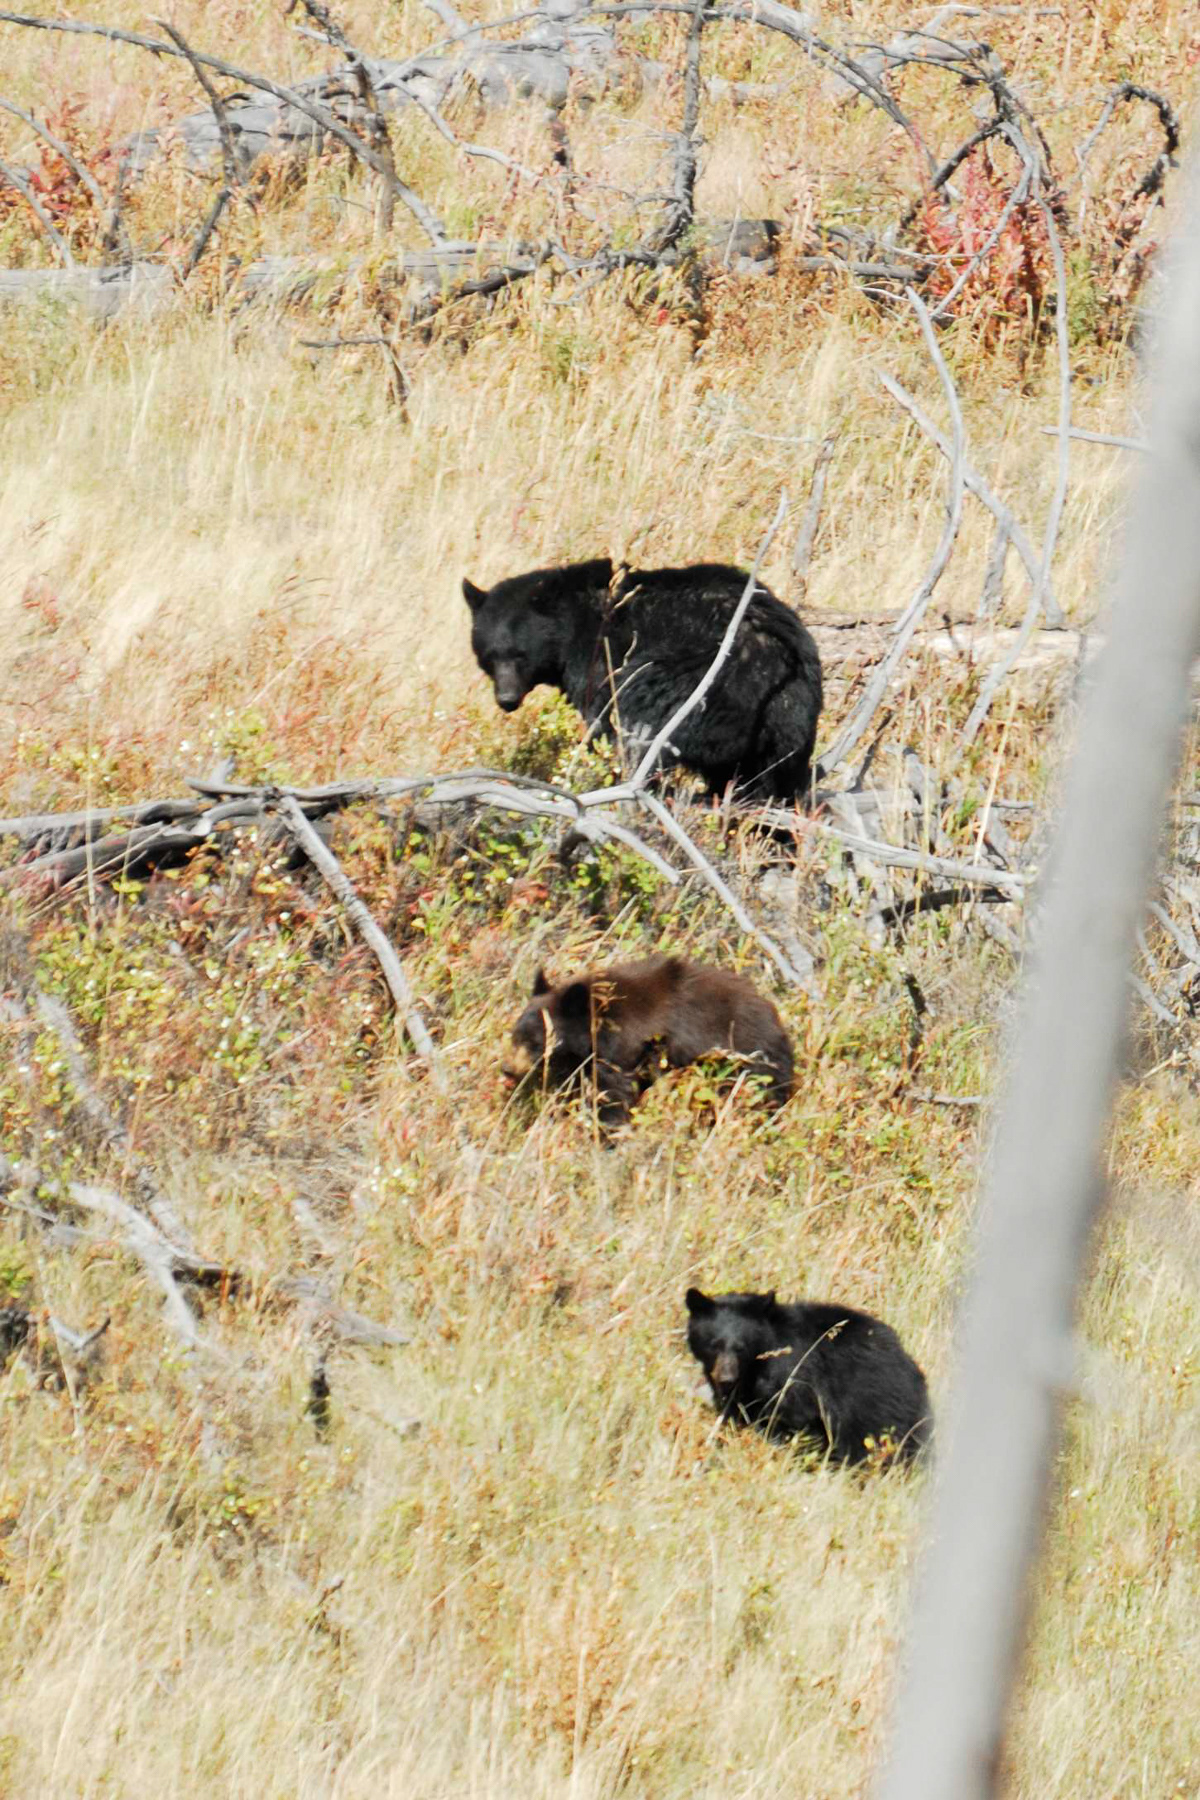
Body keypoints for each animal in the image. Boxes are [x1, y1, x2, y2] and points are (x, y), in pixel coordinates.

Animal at [462, 558, 823, 805]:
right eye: (489, 656)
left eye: (520, 655)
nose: (507, 699)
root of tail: (775, 657)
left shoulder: (598, 657)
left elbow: (600, 719)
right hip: (790, 714)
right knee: (772, 773)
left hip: (692, 682)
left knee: (643, 718)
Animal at [504, 955, 794, 1126]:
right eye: (515, 1035)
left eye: (535, 1042)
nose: (507, 1069)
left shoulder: (622, 1055)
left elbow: (613, 1095)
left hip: (747, 1065)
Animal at [685, 1287, 932, 1467]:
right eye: (714, 1344)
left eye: (741, 1348)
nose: (726, 1379)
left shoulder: (793, 1379)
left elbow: (793, 1419)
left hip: (873, 1405)